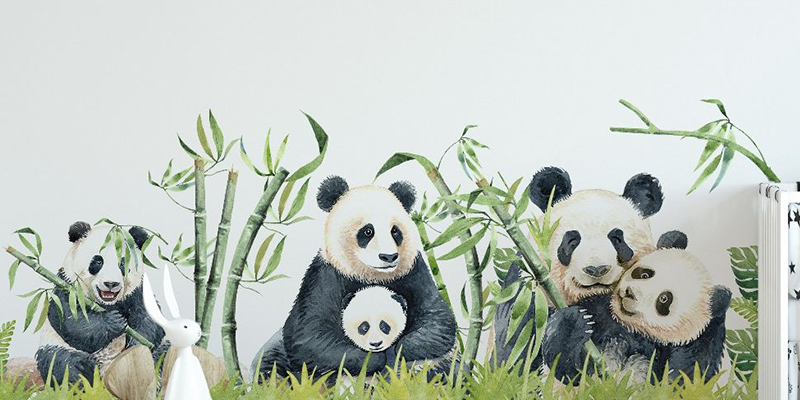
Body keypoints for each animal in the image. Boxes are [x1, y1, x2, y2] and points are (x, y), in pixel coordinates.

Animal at [36, 221, 166, 385]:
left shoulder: (137, 291)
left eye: (122, 264)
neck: (107, 303)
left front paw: (136, 344)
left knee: (161, 358)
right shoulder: (67, 286)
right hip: (57, 346)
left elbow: (149, 318)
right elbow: (71, 321)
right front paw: (115, 321)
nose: (111, 283)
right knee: (63, 364)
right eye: (98, 261)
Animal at [252, 176, 457, 381]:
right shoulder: (324, 276)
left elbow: (437, 321)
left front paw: (395, 352)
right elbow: (309, 335)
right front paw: (372, 359)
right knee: (271, 363)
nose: (388, 257)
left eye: (395, 231)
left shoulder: (414, 272)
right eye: (367, 231)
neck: (373, 275)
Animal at [494, 167, 664, 367]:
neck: (594, 298)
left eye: (617, 238)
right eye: (572, 240)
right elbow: (511, 354)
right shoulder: (527, 294)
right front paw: (571, 324)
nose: (597, 269)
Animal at [542, 231, 731, 383]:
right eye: (645, 274)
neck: (630, 326)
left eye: (664, 299)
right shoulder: (600, 309)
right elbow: (570, 371)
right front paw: (572, 322)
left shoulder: (689, 344)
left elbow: (683, 378)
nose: (630, 293)